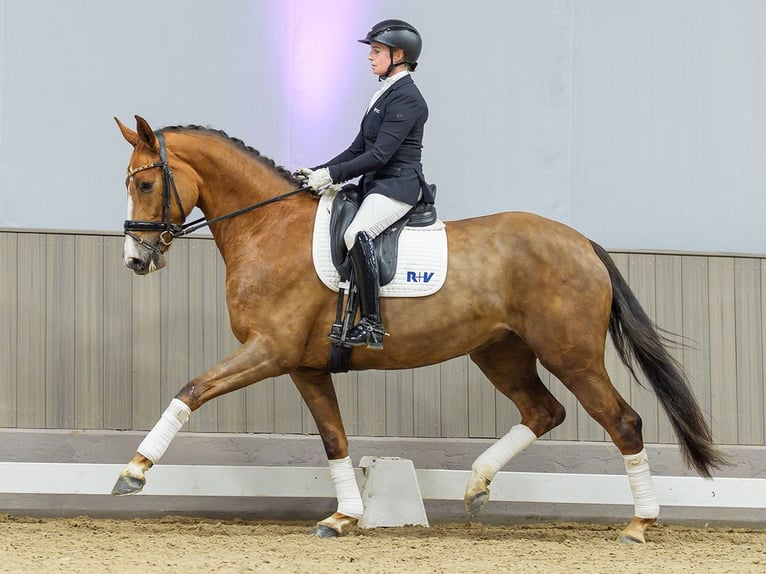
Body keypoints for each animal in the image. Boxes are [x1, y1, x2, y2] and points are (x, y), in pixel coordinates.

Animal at [112, 115, 725, 543]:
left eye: (145, 186)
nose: (136, 260)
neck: (268, 226)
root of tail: (582, 242)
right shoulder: (305, 365)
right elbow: (334, 438)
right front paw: (343, 517)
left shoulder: (269, 350)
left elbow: (191, 389)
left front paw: (134, 472)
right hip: (501, 352)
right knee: (543, 412)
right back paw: (477, 485)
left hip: (570, 354)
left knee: (622, 421)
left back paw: (639, 524)